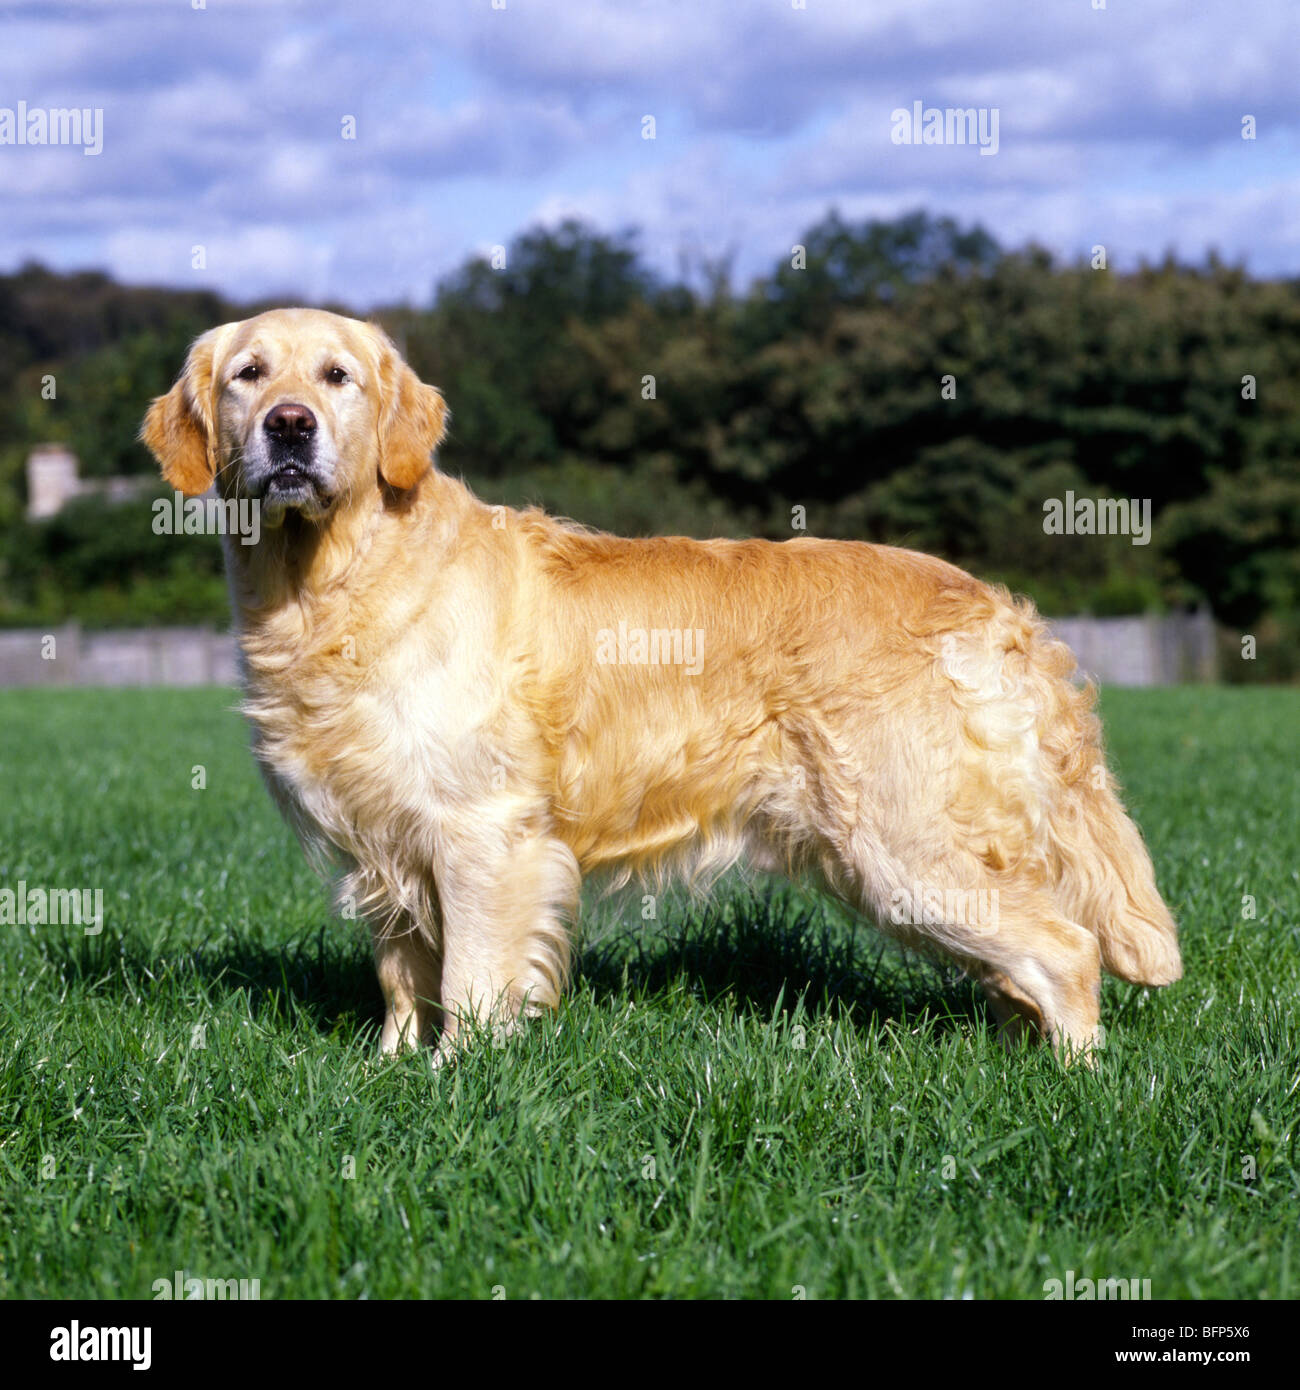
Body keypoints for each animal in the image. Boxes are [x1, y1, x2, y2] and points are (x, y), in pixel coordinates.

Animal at [139, 307, 1179, 1061]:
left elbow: (471, 980)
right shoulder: (385, 839)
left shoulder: (481, 833)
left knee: (1068, 950)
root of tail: (1000, 609)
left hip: (901, 848)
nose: (289, 428)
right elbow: (405, 976)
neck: (338, 575)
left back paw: (1070, 1083)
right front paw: (391, 1068)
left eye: (336, 377)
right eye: (249, 375)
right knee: (1025, 965)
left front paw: (454, 1080)